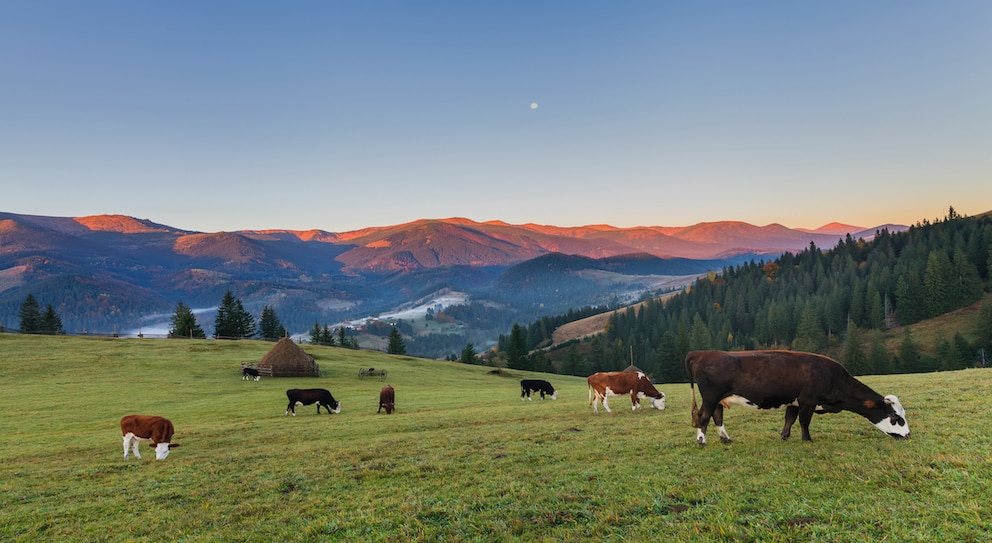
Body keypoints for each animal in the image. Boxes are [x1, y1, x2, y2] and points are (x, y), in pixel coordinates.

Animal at [684, 352, 912, 446]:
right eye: (895, 418)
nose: (908, 435)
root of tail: (703, 353)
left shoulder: (794, 401)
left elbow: (790, 419)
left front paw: (784, 437)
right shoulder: (807, 400)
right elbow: (804, 421)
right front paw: (807, 439)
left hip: (719, 399)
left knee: (717, 416)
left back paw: (726, 439)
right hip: (711, 396)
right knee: (704, 416)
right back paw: (701, 441)